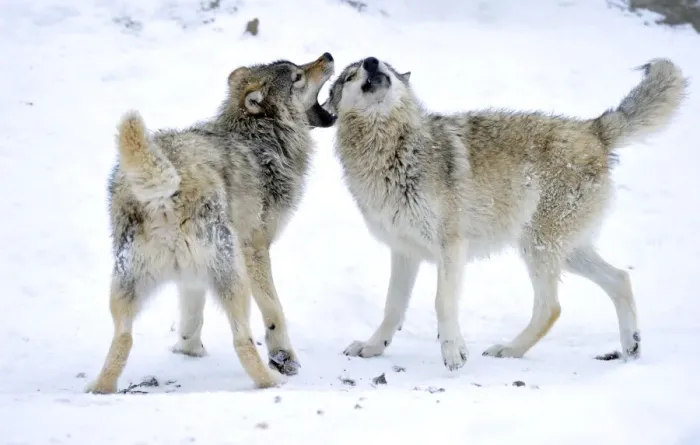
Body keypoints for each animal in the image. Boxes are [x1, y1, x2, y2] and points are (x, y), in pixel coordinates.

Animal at [85, 53, 336, 394]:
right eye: (298, 76)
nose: (328, 56)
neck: (261, 139)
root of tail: (165, 194)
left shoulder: (191, 276)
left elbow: (191, 315)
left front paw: (188, 351)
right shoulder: (255, 249)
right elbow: (275, 310)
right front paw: (284, 357)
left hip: (126, 287)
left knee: (123, 339)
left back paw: (100, 388)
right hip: (234, 279)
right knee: (242, 341)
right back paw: (271, 381)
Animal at [323, 56, 686, 370]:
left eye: (386, 65)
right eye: (350, 75)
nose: (372, 61)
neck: (392, 149)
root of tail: (594, 129)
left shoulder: (451, 246)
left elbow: (442, 302)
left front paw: (453, 352)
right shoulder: (404, 252)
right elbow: (392, 307)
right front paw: (373, 347)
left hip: (537, 248)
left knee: (552, 308)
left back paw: (509, 350)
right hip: (565, 252)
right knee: (620, 279)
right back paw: (631, 348)